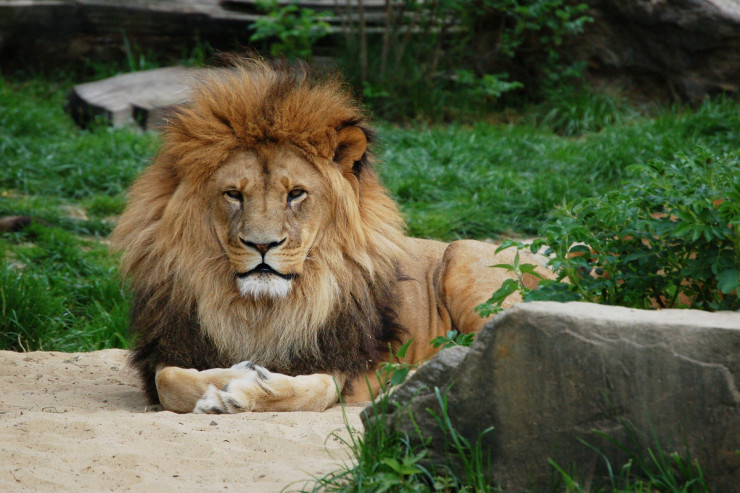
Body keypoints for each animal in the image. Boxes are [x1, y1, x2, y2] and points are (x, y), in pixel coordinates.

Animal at [108, 60, 548, 416]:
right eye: (234, 194)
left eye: (295, 193)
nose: (262, 246)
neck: (261, 311)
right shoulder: (170, 348)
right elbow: (170, 383)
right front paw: (237, 373)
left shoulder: (345, 362)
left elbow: (312, 390)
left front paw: (243, 391)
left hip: (464, 259)